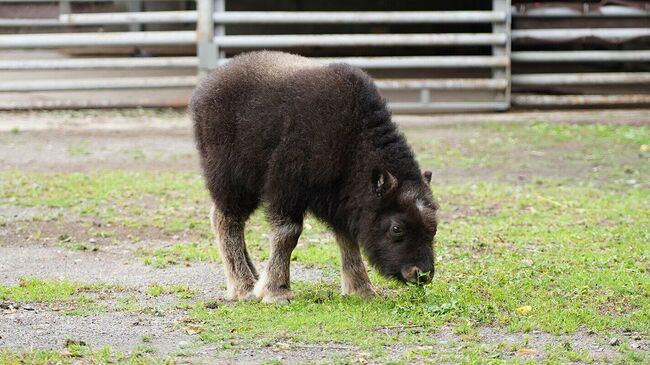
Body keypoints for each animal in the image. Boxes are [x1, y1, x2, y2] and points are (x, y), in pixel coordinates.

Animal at [190, 50, 438, 302]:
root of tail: (207, 86)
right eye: (397, 228)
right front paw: (277, 291)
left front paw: (362, 289)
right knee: (227, 220)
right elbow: (288, 234)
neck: (351, 141)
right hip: (231, 180)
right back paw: (244, 286)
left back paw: (254, 277)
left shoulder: (340, 201)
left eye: (434, 226)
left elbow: (347, 238)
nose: (421, 274)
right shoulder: (286, 189)